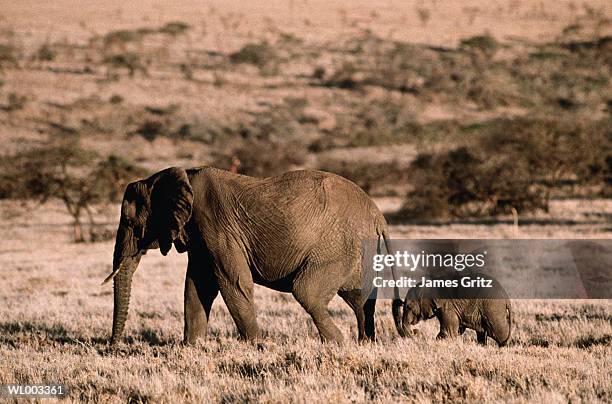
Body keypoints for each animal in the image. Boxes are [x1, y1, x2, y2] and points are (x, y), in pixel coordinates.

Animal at [103, 166, 394, 346]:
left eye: (130, 222)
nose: (113, 346)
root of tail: (377, 215)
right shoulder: (200, 236)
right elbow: (197, 287)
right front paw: (191, 347)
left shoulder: (216, 226)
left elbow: (234, 282)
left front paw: (258, 345)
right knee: (359, 300)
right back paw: (364, 344)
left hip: (338, 247)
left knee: (307, 292)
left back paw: (338, 344)